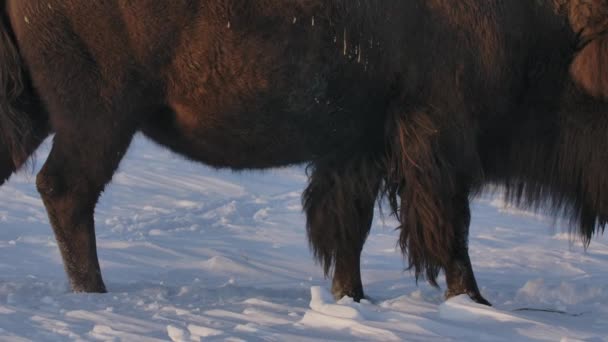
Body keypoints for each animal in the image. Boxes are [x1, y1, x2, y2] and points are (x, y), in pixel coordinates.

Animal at [0, 0, 604, 304]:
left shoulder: (361, 149)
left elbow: (347, 228)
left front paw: (352, 299)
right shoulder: (439, 143)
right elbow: (449, 232)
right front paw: (475, 304)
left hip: (38, 111)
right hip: (101, 115)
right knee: (67, 191)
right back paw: (94, 294)